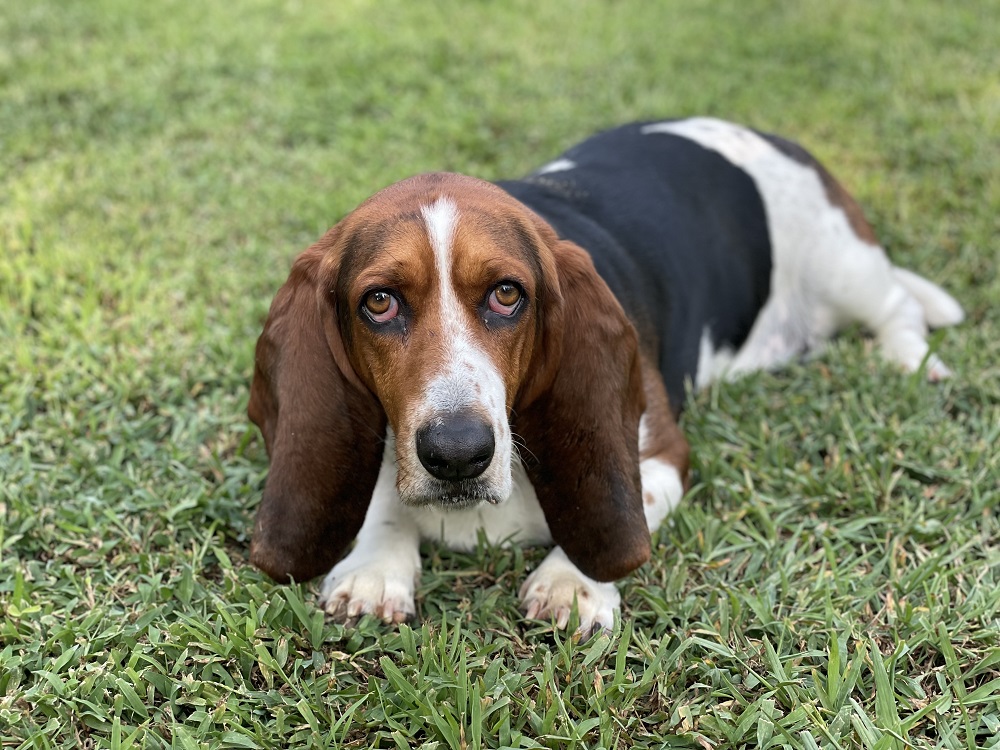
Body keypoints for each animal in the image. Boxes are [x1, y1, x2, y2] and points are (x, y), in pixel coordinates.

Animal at [246, 116, 964, 636]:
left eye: (507, 294)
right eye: (379, 302)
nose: (457, 454)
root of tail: (769, 134)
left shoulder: (661, 453)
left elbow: (625, 504)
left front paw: (573, 582)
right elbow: (380, 499)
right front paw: (374, 570)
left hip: (846, 266)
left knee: (898, 307)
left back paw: (913, 363)